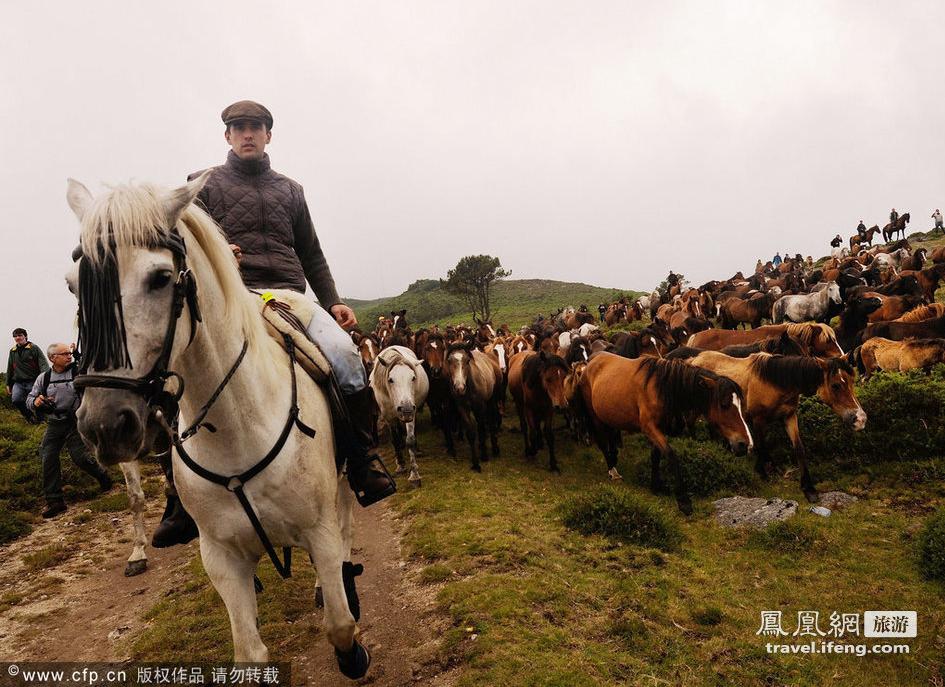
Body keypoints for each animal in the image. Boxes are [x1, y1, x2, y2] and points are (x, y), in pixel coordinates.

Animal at [63, 176, 368, 676]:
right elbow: (249, 652)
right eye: (73, 286)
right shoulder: (221, 557)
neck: (237, 429)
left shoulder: (319, 532)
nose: (105, 425)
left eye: (160, 278)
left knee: (344, 527)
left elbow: (341, 624)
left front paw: (353, 650)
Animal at [366, 350, 430, 490]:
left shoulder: (411, 413)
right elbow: (394, 439)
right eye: (390, 380)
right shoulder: (389, 417)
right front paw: (400, 465)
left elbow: (410, 440)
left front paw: (414, 475)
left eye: (413, 378)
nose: (406, 410)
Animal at [442, 342, 502, 470]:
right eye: (449, 360)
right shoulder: (463, 408)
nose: (459, 388)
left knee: (491, 421)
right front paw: (475, 463)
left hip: (492, 400)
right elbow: (470, 433)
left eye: (467, 360)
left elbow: (482, 430)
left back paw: (495, 448)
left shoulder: (480, 407)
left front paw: (484, 455)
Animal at [576, 352, 752, 512]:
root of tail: (590, 362)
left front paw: (655, 486)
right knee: (602, 441)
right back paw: (612, 470)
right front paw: (683, 500)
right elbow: (671, 456)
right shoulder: (649, 428)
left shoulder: (660, 428)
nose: (745, 444)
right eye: (724, 404)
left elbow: (656, 456)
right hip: (595, 417)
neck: (660, 389)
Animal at [684, 352, 868, 502]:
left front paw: (808, 488)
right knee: (690, 424)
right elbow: (761, 446)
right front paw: (762, 472)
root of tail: (694, 359)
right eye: (836, 385)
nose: (860, 419)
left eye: (852, 381)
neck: (775, 383)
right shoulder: (758, 420)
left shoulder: (789, 417)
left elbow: (799, 449)